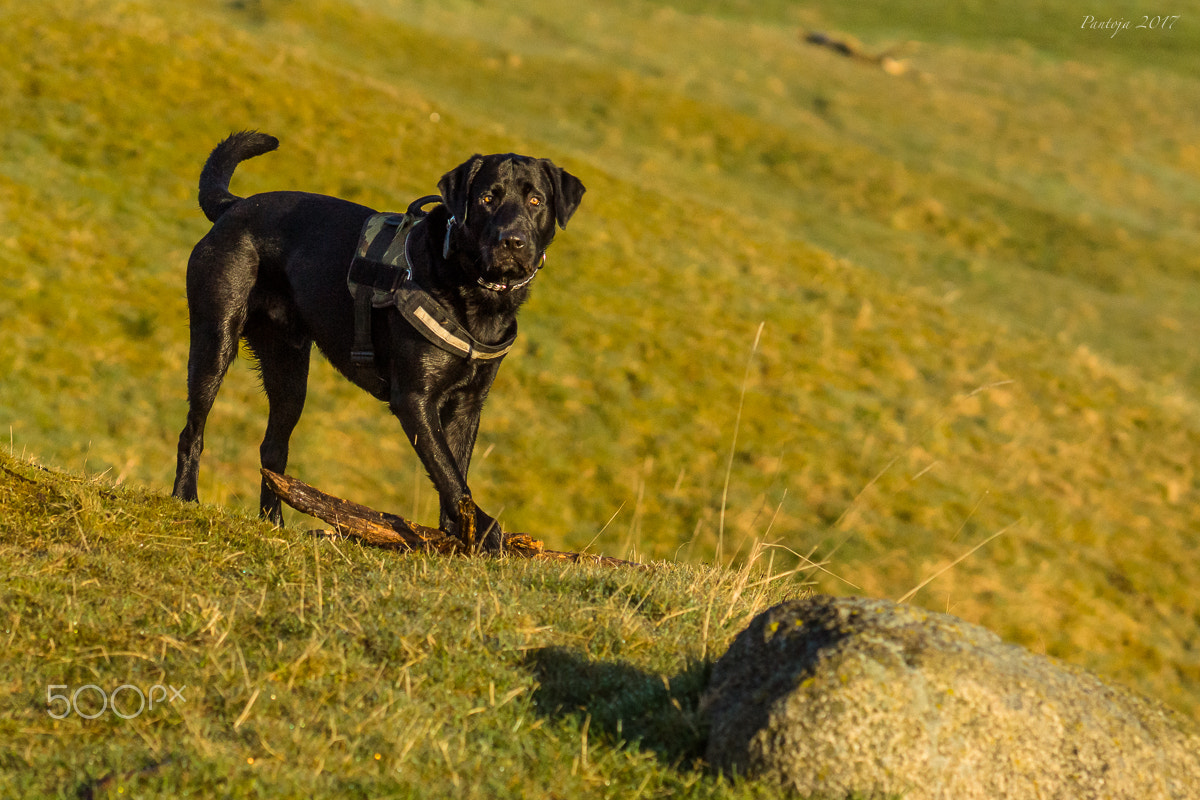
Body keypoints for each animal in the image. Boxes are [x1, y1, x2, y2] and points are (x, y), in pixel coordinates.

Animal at [171, 131, 583, 546]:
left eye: (536, 201)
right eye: (487, 199)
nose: (511, 241)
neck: (473, 290)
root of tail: (234, 206)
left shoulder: (467, 405)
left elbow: (455, 469)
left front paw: (456, 537)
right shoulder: (414, 399)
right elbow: (448, 473)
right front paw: (483, 532)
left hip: (289, 373)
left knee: (273, 451)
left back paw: (274, 523)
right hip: (216, 339)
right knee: (193, 430)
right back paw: (186, 497)